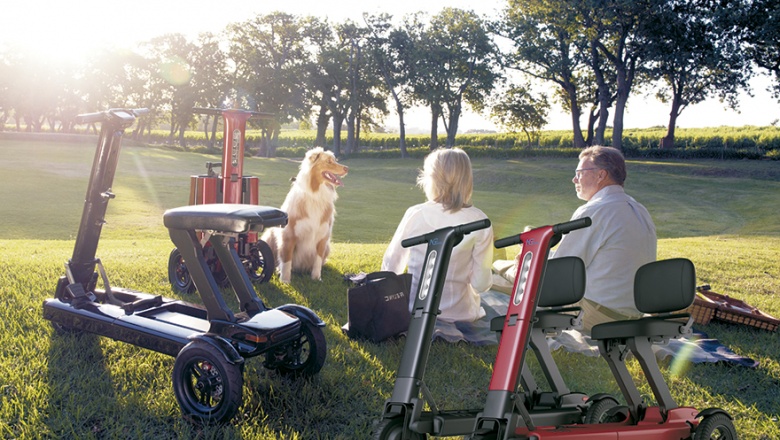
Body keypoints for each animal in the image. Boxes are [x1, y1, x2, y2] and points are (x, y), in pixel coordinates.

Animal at [262, 146, 348, 284]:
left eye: (335, 160)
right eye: (329, 161)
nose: (347, 168)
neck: (316, 196)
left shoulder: (323, 237)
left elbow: (318, 260)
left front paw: (316, 278)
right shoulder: (289, 235)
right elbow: (286, 260)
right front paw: (285, 280)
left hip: (328, 247)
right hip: (269, 235)